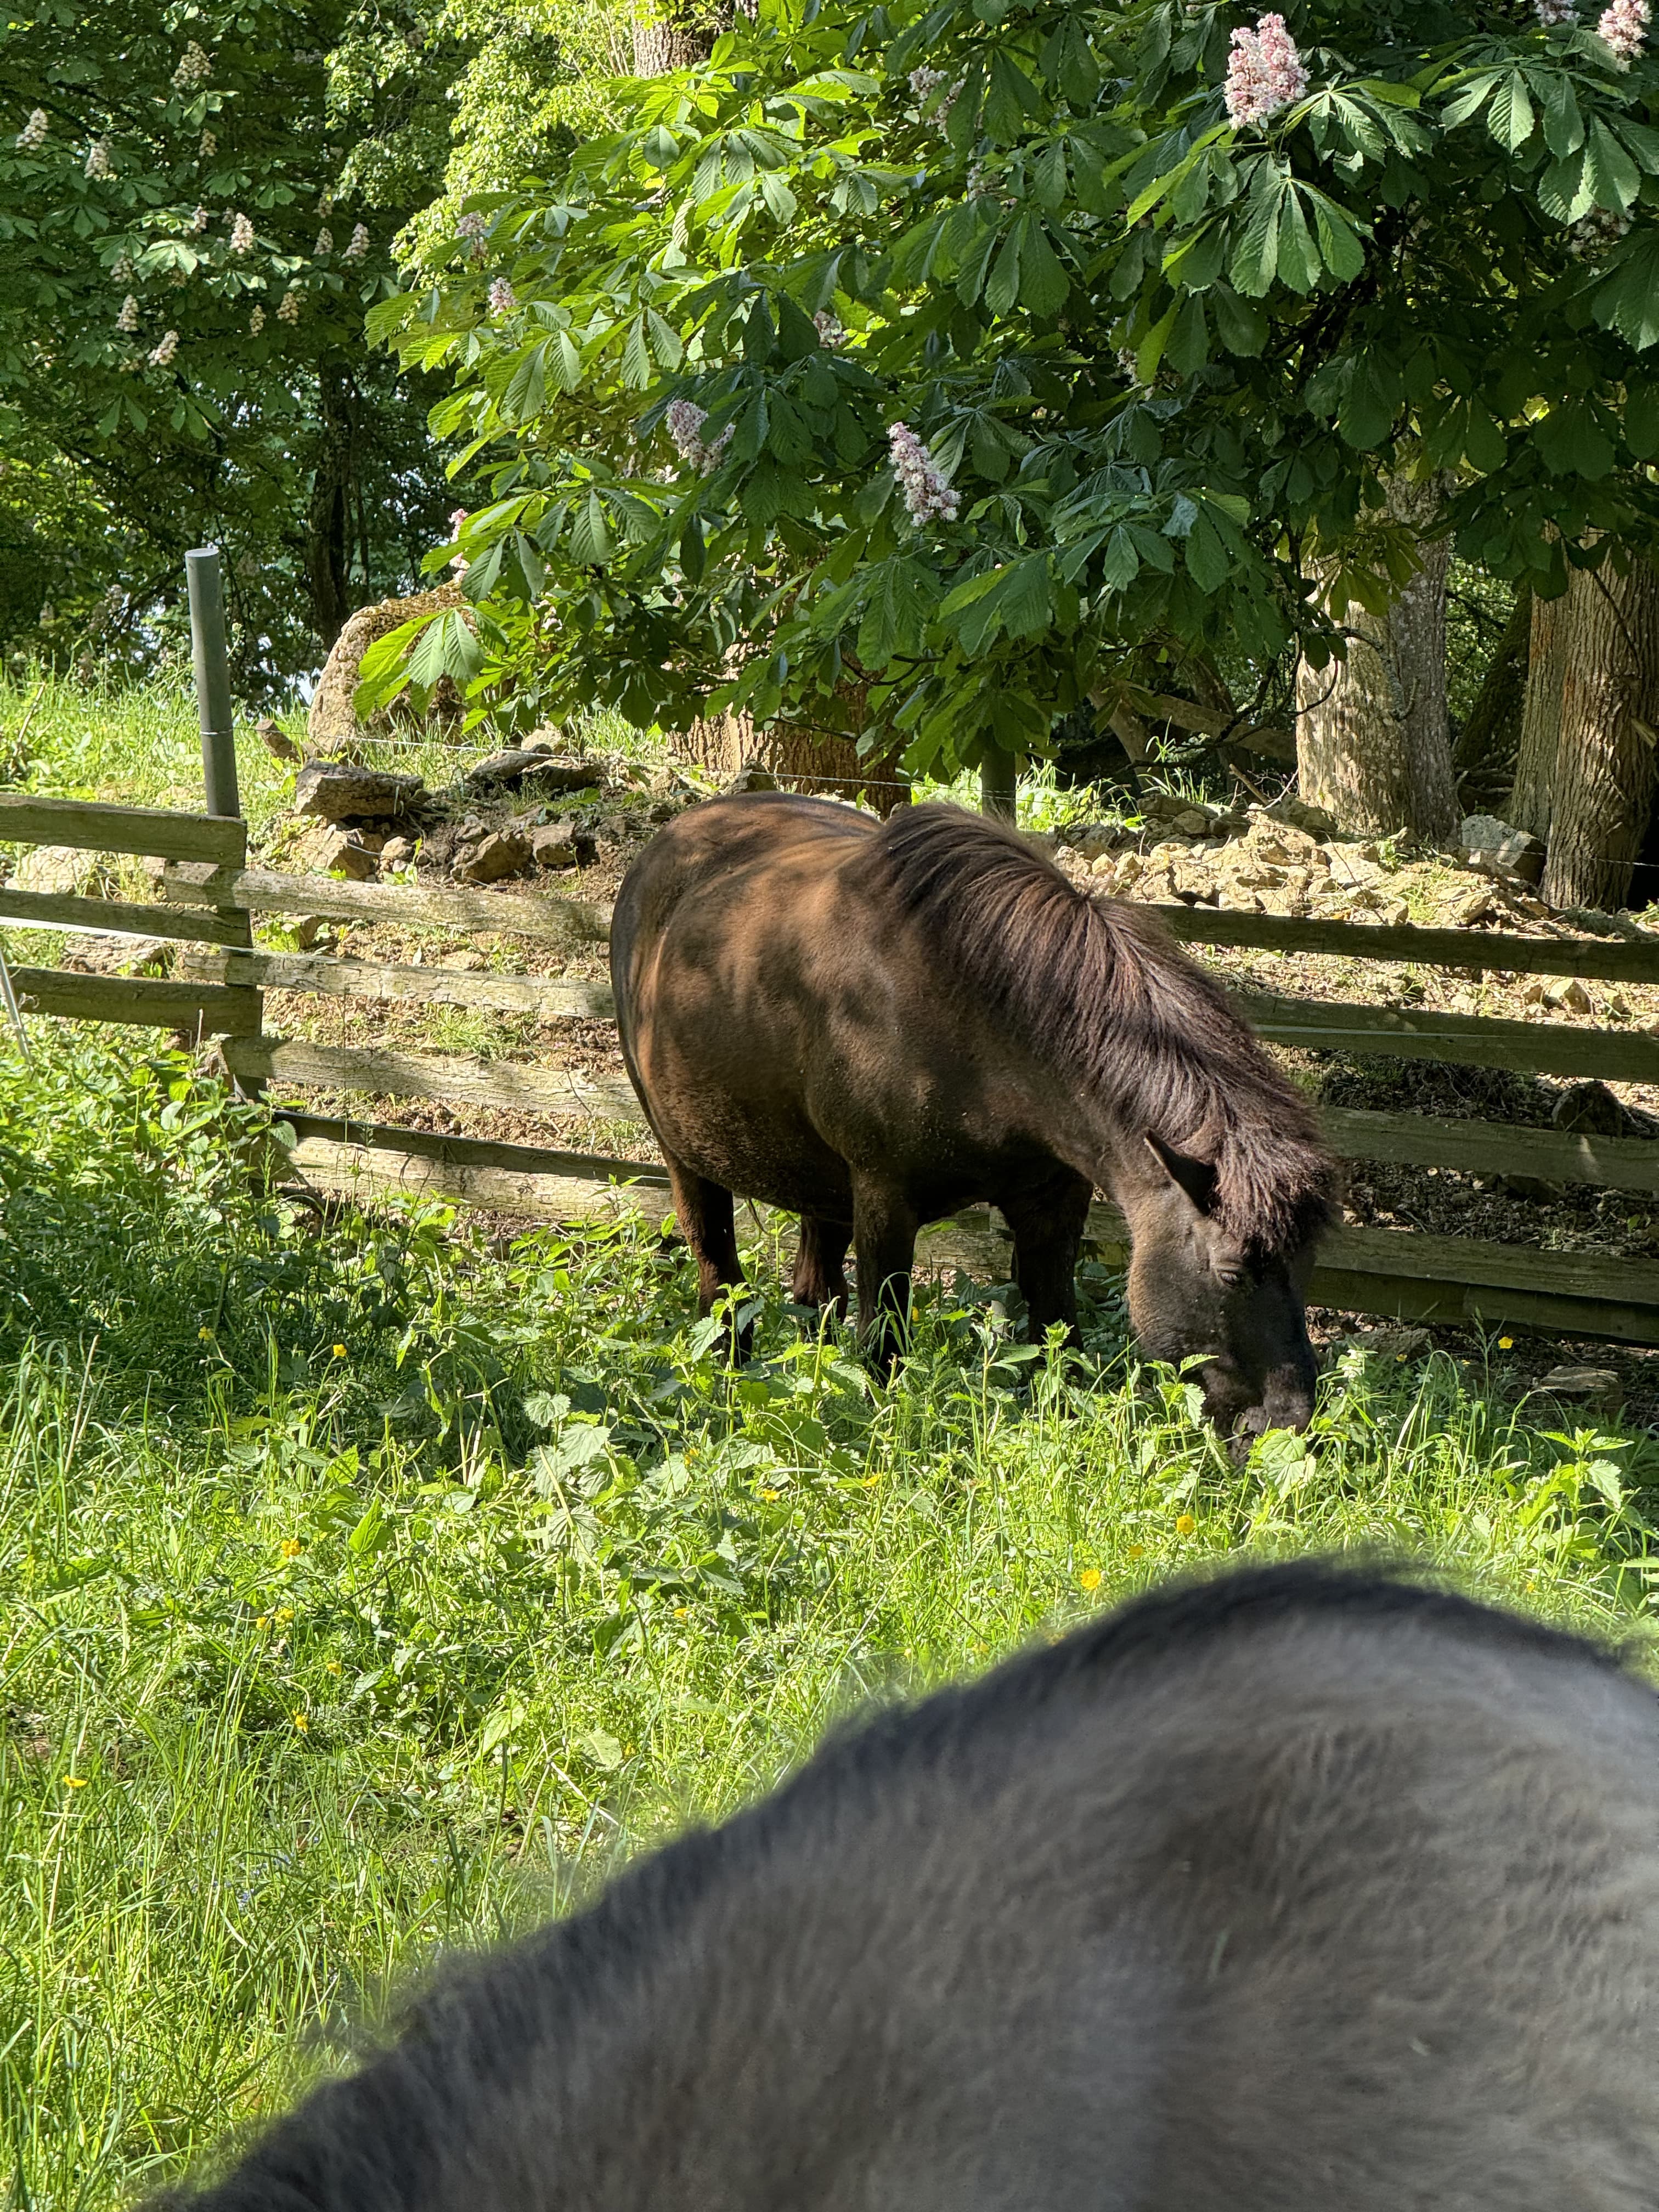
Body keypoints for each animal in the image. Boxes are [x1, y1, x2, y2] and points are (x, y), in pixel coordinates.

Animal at [610, 795, 1336, 1436]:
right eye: (1234, 1273)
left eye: (1307, 1265)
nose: (1291, 1424)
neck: (981, 1017)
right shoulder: (884, 1200)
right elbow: (885, 1340)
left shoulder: (1054, 1199)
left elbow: (1056, 1329)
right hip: (687, 1157)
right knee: (718, 1278)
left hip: (819, 1183)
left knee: (815, 1286)